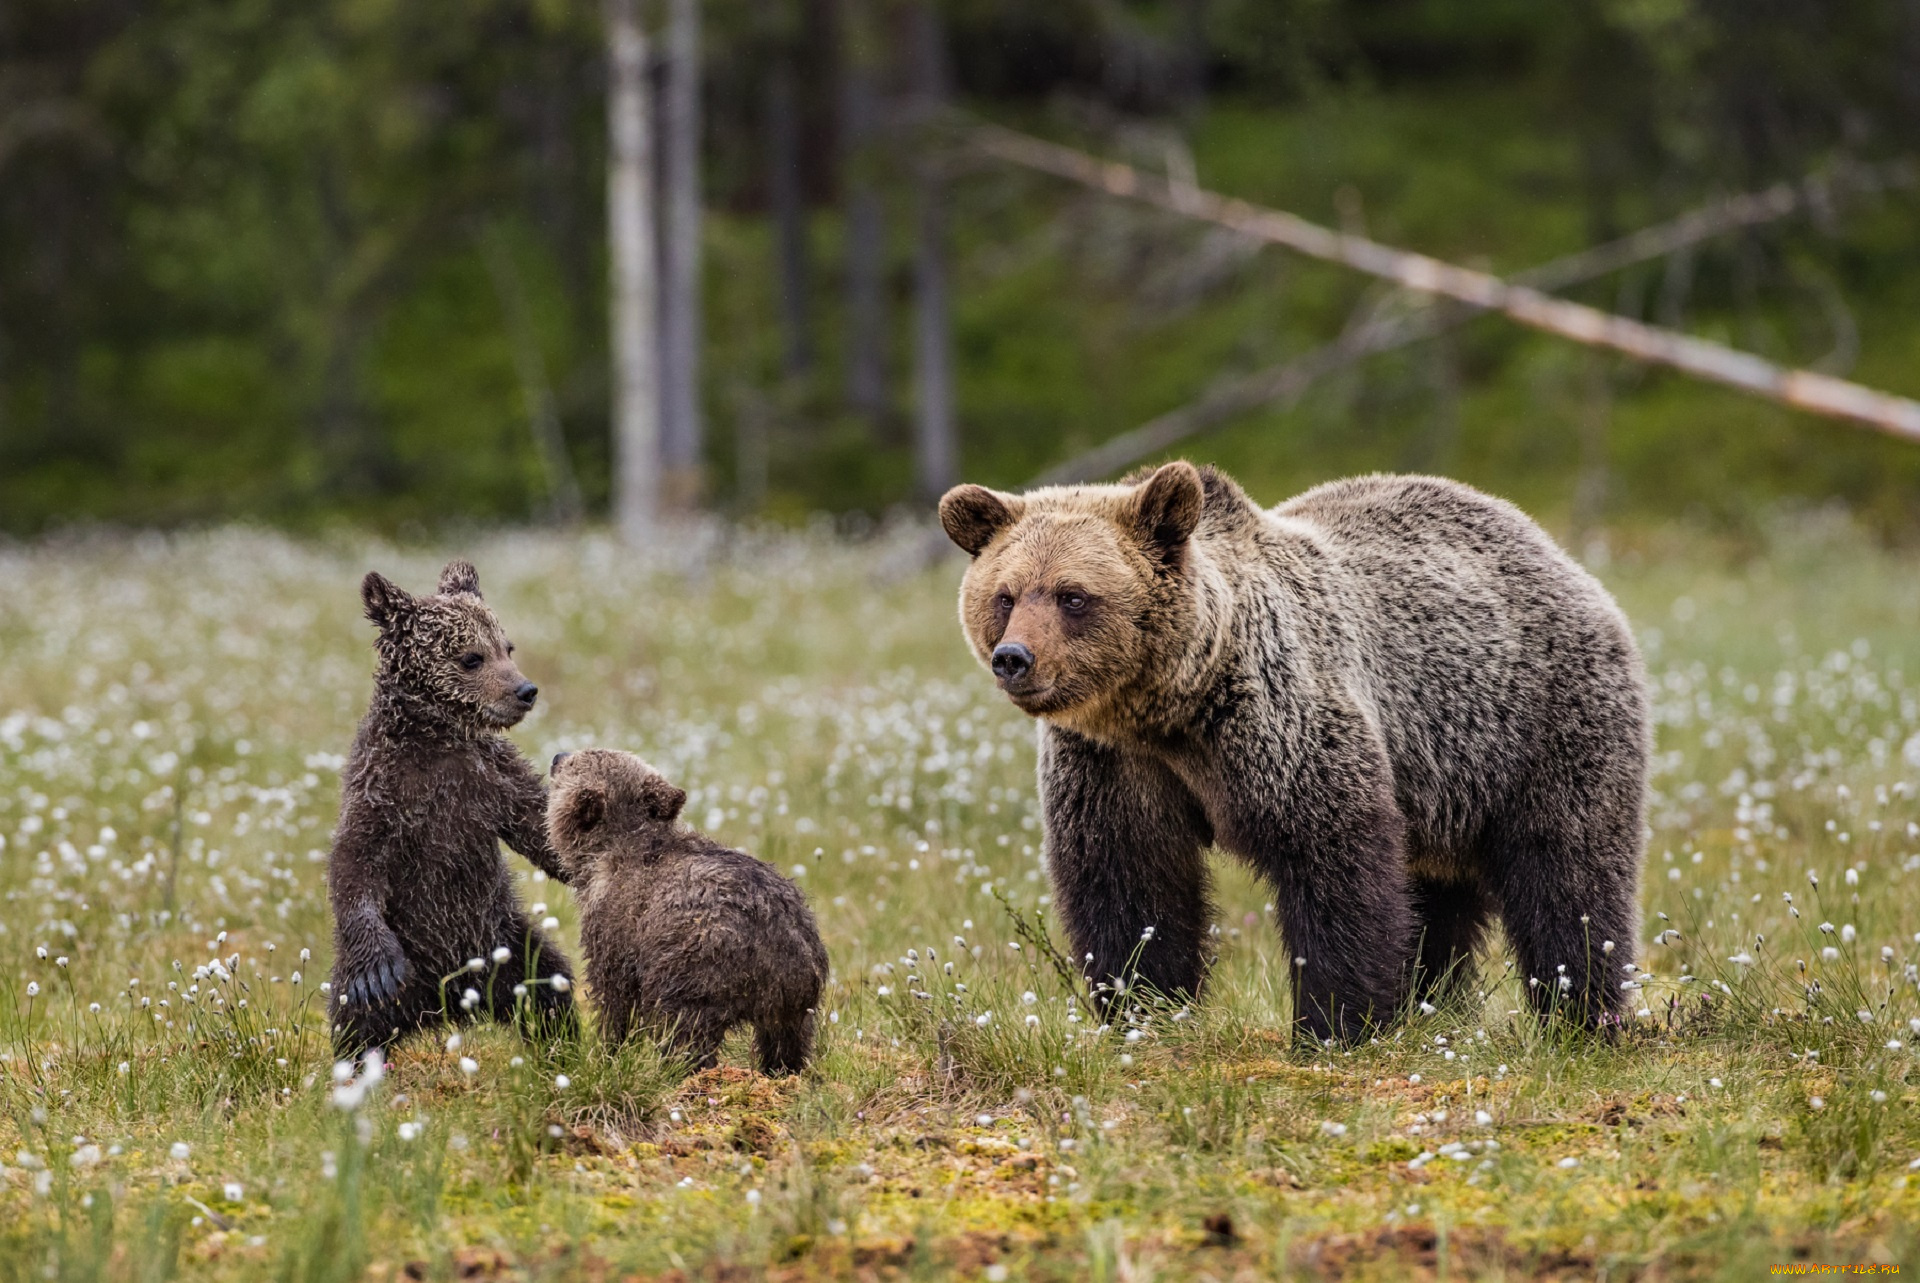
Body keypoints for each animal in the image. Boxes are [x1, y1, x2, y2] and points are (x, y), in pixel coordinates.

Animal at [936, 460, 1643, 1044]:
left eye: (1073, 595)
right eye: (1005, 594)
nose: (1014, 658)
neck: (1168, 709)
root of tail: (1552, 549)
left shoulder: (1281, 721)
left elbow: (1333, 861)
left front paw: (1335, 1022)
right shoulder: (1113, 763)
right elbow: (1128, 879)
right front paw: (1143, 1006)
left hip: (1533, 722)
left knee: (1568, 869)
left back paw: (1583, 1014)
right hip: (1439, 783)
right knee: (1438, 897)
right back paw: (1430, 1002)